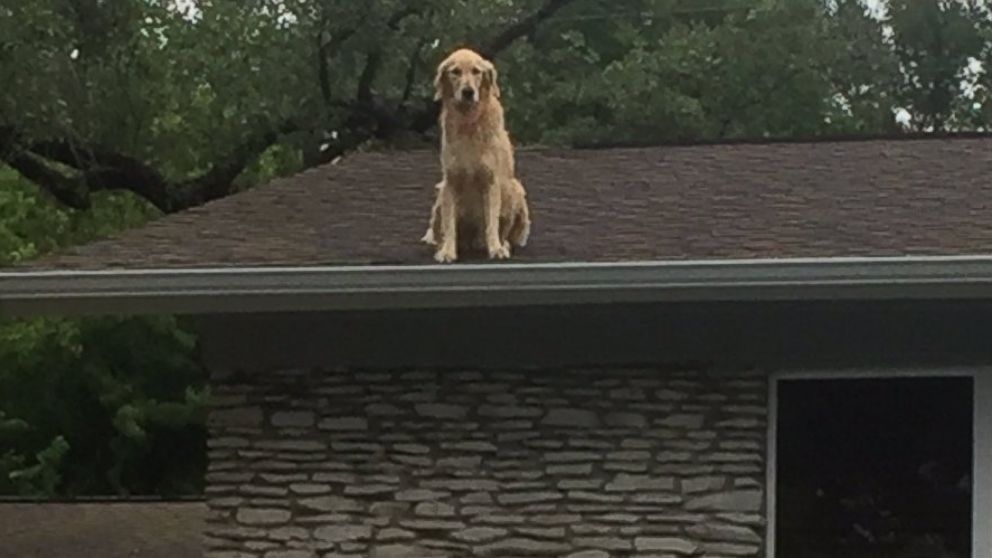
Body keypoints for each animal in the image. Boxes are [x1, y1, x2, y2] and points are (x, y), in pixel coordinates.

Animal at [428, 47, 532, 262]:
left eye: (476, 71)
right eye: (455, 72)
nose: (468, 92)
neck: (468, 122)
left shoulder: (491, 180)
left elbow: (492, 221)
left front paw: (496, 248)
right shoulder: (451, 181)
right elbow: (449, 224)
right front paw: (447, 251)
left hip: (514, 188)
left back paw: (503, 244)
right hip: (440, 194)